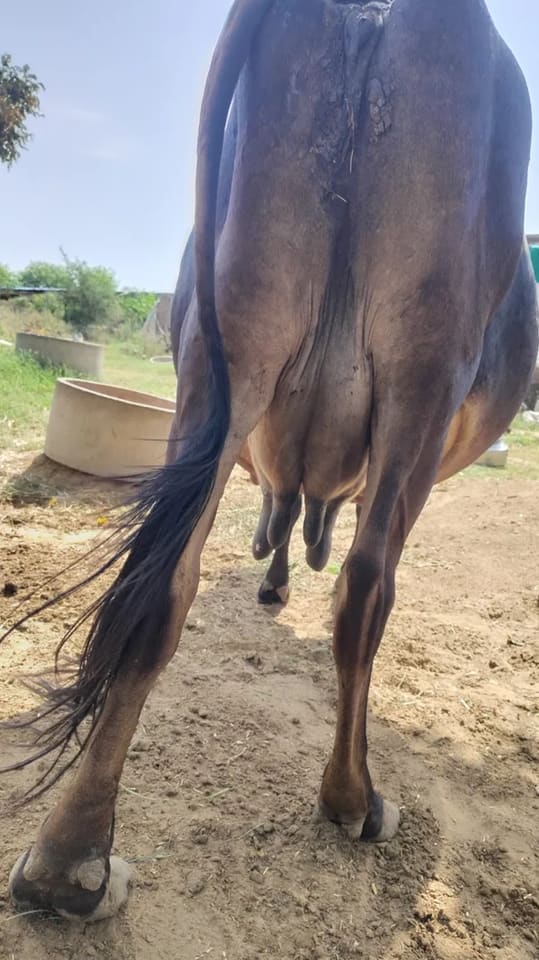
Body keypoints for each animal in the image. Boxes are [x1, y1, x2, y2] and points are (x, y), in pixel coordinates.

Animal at [5, 0, 538, 923]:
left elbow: (286, 509)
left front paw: (276, 570)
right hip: (424, 372)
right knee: (366, 587)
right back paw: (353, 799)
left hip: (224, 349)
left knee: (158, 584)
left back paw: (67, 862)